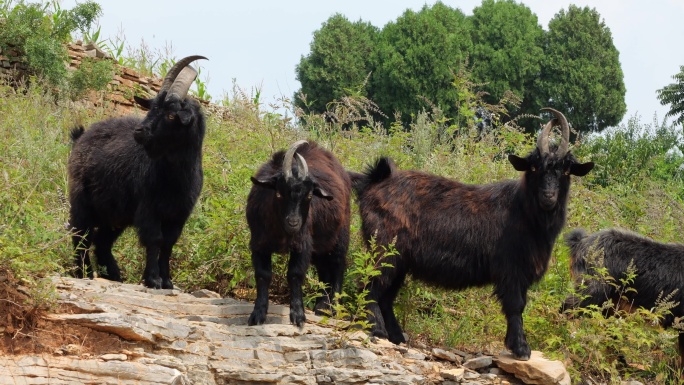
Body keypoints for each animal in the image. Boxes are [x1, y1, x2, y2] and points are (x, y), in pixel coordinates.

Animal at [70, 54, 210, 288]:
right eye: (151, 108)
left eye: (171, 115)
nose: (139, 131)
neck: (175, 178)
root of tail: (80, 136)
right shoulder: (149, 208)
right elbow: (155, 240)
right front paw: (153, 279)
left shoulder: (179, 214)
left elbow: (168, 244)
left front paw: (167, 280)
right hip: (82, 200)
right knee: (80, 235)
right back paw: (83, 273)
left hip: (114, 214)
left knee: (101, 241)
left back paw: (114, 275)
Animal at [247, 140, 352, 326]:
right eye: (279, 193)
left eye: (309, 195)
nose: (294, 222)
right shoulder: (259, 243)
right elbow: (262, 275)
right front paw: (257, 314)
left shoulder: (302, 244)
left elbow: (295, 274)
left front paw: (298, 316)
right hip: (319, 246)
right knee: (323, 270)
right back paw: (321, 306)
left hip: (340, 235)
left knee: (338, 265)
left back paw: (333, 308)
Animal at [350, 107, 596, 356]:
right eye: (534, 167)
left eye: (566, 171)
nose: (548, 196)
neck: (522, 210)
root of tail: (373, 183)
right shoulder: (511, 268)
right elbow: (516, 305)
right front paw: (520, 348)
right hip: (384, 247)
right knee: (369, 283)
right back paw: (377, 330)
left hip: (399, 260)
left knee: (386, 295)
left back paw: (397, 337)